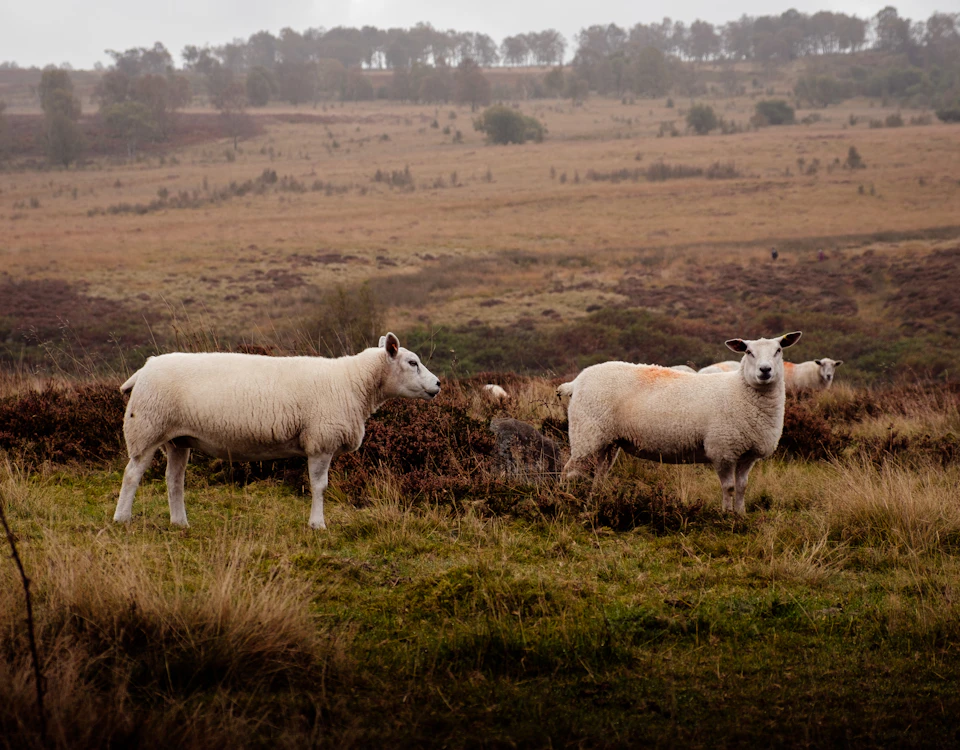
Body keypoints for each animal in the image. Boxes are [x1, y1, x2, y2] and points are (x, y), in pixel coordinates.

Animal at [113, 333, 440, 530]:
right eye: (412, 362)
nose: (437, 385)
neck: (353, 383)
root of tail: (144, 369)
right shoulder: (320, 442)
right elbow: (319, 487)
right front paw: (317, 524)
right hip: (146, 428)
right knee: (132, 475)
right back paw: (122, 518)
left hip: (178, 439)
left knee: (174, 480)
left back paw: (180, 522)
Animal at [560, 332, 802, 514]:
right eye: (748, 352)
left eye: (778, 350)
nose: (765, 370)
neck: (739, 390)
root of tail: (576, 381)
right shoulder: (722, 449)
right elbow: (729, 488)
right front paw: (726, 515)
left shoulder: (747, 454)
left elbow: (742, 487)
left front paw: (741, 515)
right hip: (586, 433)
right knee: (568, 471)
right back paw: (562, 502)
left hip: (607, 441)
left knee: (599, 475)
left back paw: (595, 503)